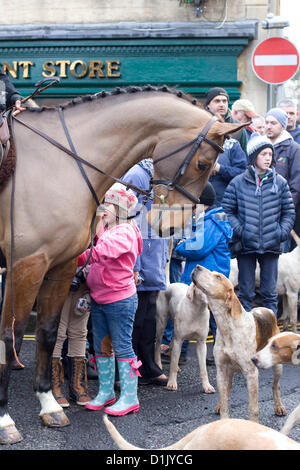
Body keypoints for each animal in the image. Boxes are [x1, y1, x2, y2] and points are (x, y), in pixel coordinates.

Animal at [0, 86, 244, 442]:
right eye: (202, 163)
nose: (171, 228)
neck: (61, 163)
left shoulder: (59, 267)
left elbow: (46, 332)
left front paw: (48, 404)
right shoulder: (25, 265)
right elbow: (9, 336)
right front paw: (4, 418)